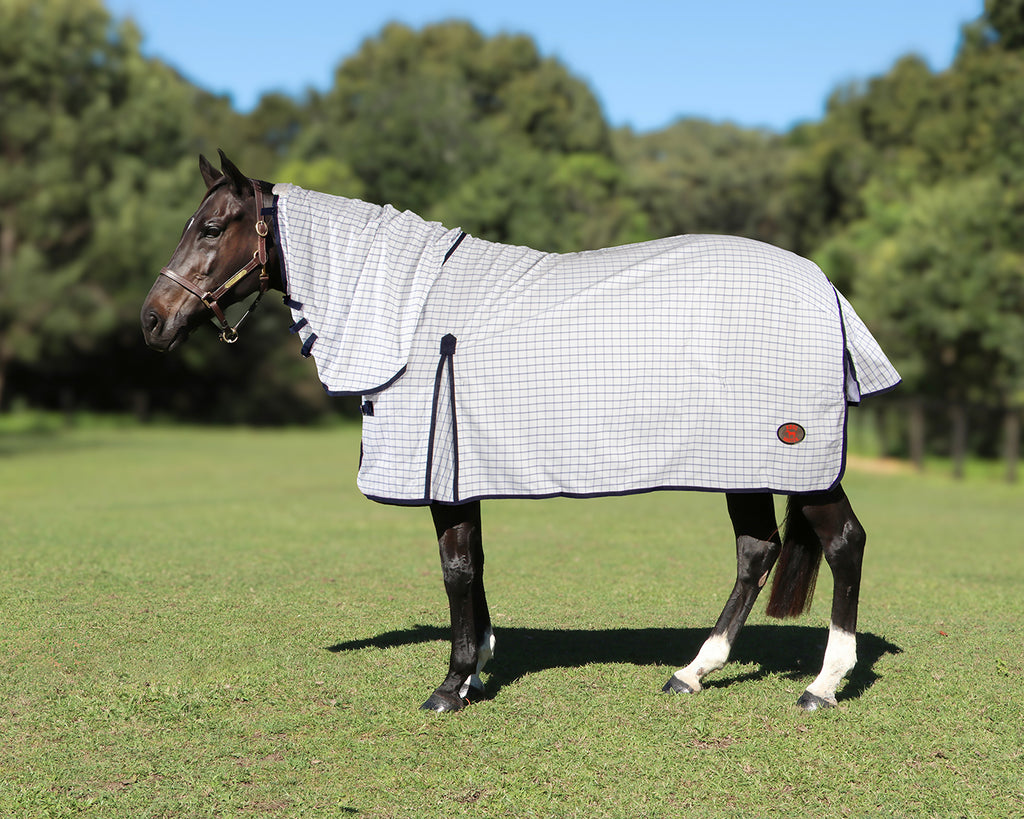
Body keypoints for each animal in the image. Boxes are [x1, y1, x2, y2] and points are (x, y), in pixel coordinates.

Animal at [141, 151, 899, 712]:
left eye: (212, 229)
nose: (152, 320)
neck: (408, 314)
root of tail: (824, 287)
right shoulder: (461, 469)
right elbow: (472, 564)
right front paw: (478, 665)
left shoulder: (441, 470)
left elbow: (455, 567)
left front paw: (451, 684)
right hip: (742, 463)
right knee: (756, 550)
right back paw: (693, 671)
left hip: (795, 458)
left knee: (844, 543)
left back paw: (824, 684)